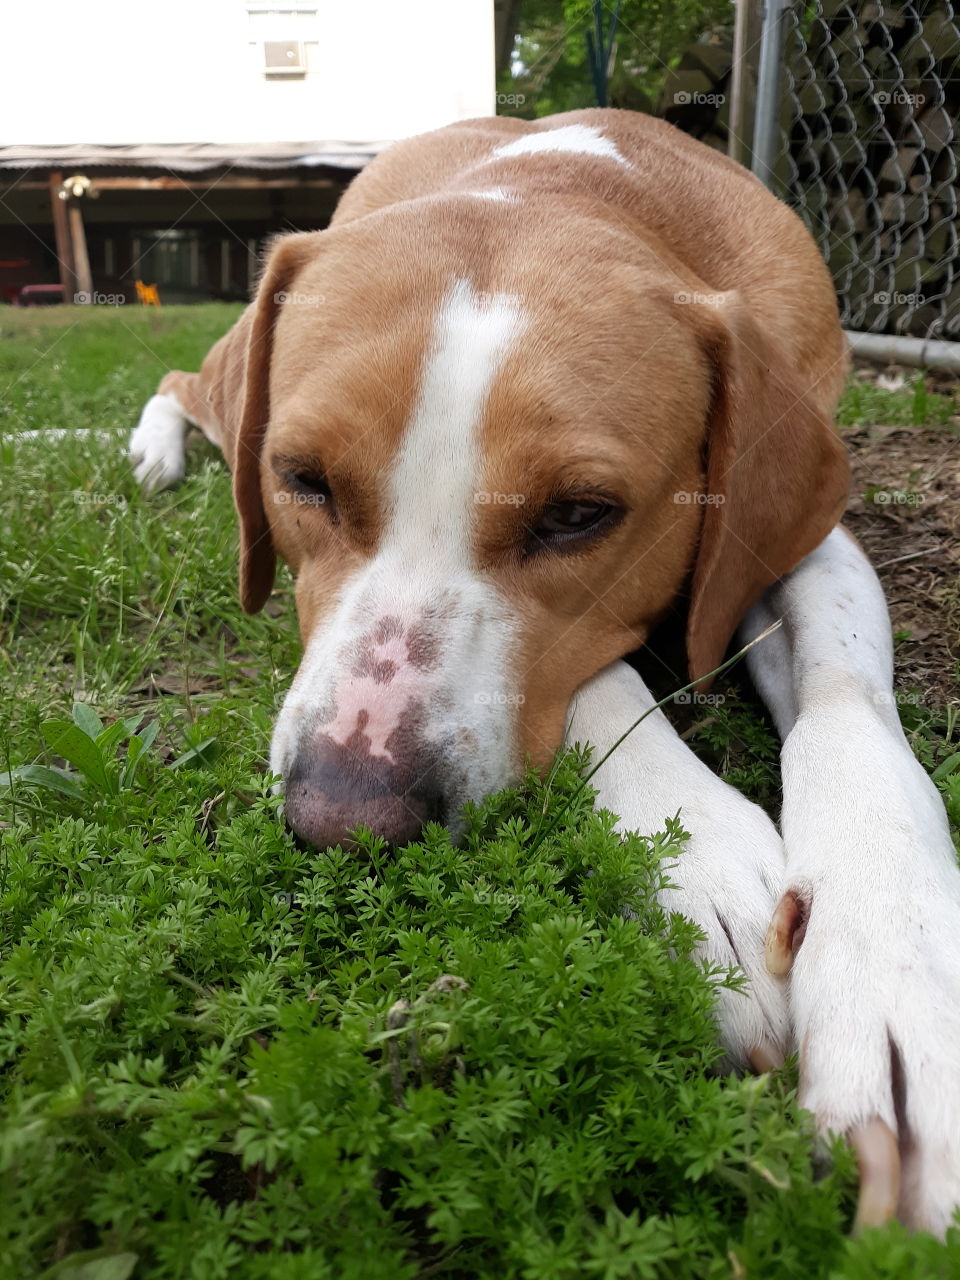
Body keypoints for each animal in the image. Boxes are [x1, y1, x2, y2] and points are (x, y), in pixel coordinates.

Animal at [131, 115, 960, 1233]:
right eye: (301, 479)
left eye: (576, 515)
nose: (344, 822)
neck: (570, 186)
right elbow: (599, 680)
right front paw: (698, 869)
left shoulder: (804, 529)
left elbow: (845, 695)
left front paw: (896, 964)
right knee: (187, 382)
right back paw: (154, 449)